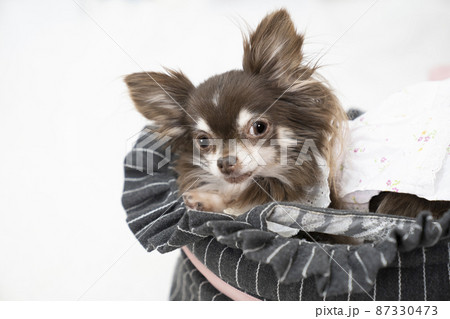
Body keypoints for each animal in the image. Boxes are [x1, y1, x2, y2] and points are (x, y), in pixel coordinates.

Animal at [125, 8, 450, 219]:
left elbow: (243, 206)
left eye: (258, 127)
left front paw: (215, 200)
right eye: (203, 142)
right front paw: (206, 198)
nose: (225, 163)